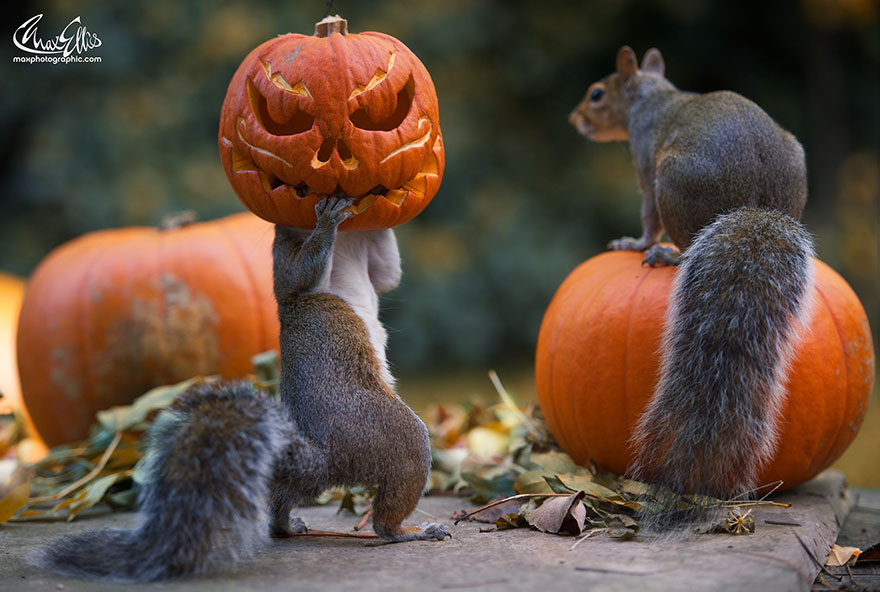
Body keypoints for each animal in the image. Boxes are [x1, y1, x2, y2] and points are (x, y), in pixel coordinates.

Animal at [37, 197, 449, 581]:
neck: (349, 243)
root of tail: (324, 457)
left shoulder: (371, 261)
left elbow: (387, 274)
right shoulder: (286, 264)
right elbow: (301, 275)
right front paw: (327, 220)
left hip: (308, 476)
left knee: (285, 498)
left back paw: (286, 524)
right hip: (396, 437)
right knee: (388, 511)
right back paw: (410, 530)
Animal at [569, 47, 816, 516]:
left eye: (596, 94)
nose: (575, 119)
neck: (652, 97)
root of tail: (759, 206)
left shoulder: (645, 164)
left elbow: (647, 216)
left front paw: (636, 241)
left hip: (673, 181)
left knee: (682, 241)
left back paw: (668, 254)